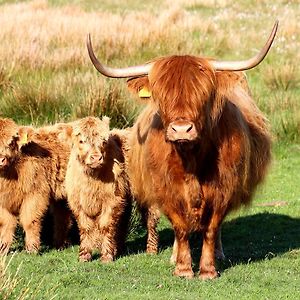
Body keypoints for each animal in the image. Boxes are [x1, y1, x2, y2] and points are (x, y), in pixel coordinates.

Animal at [65, 116, 132, 262]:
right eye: (81, 141)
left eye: (104, 141)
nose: (96, 158)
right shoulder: (77, 203)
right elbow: (85, 227)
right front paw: (84, 256)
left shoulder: (112, 200)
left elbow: (106, 226)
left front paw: (106, 256)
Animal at [87, 21, 278, 278]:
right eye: (160, 96)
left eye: (204, 94)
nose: (181, 130)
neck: (191, 161)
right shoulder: (167, 189)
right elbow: (180, 227)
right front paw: (183, 268)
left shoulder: (224, 188)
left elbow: (212, 227)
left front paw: (208, 270)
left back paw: (219, 254)